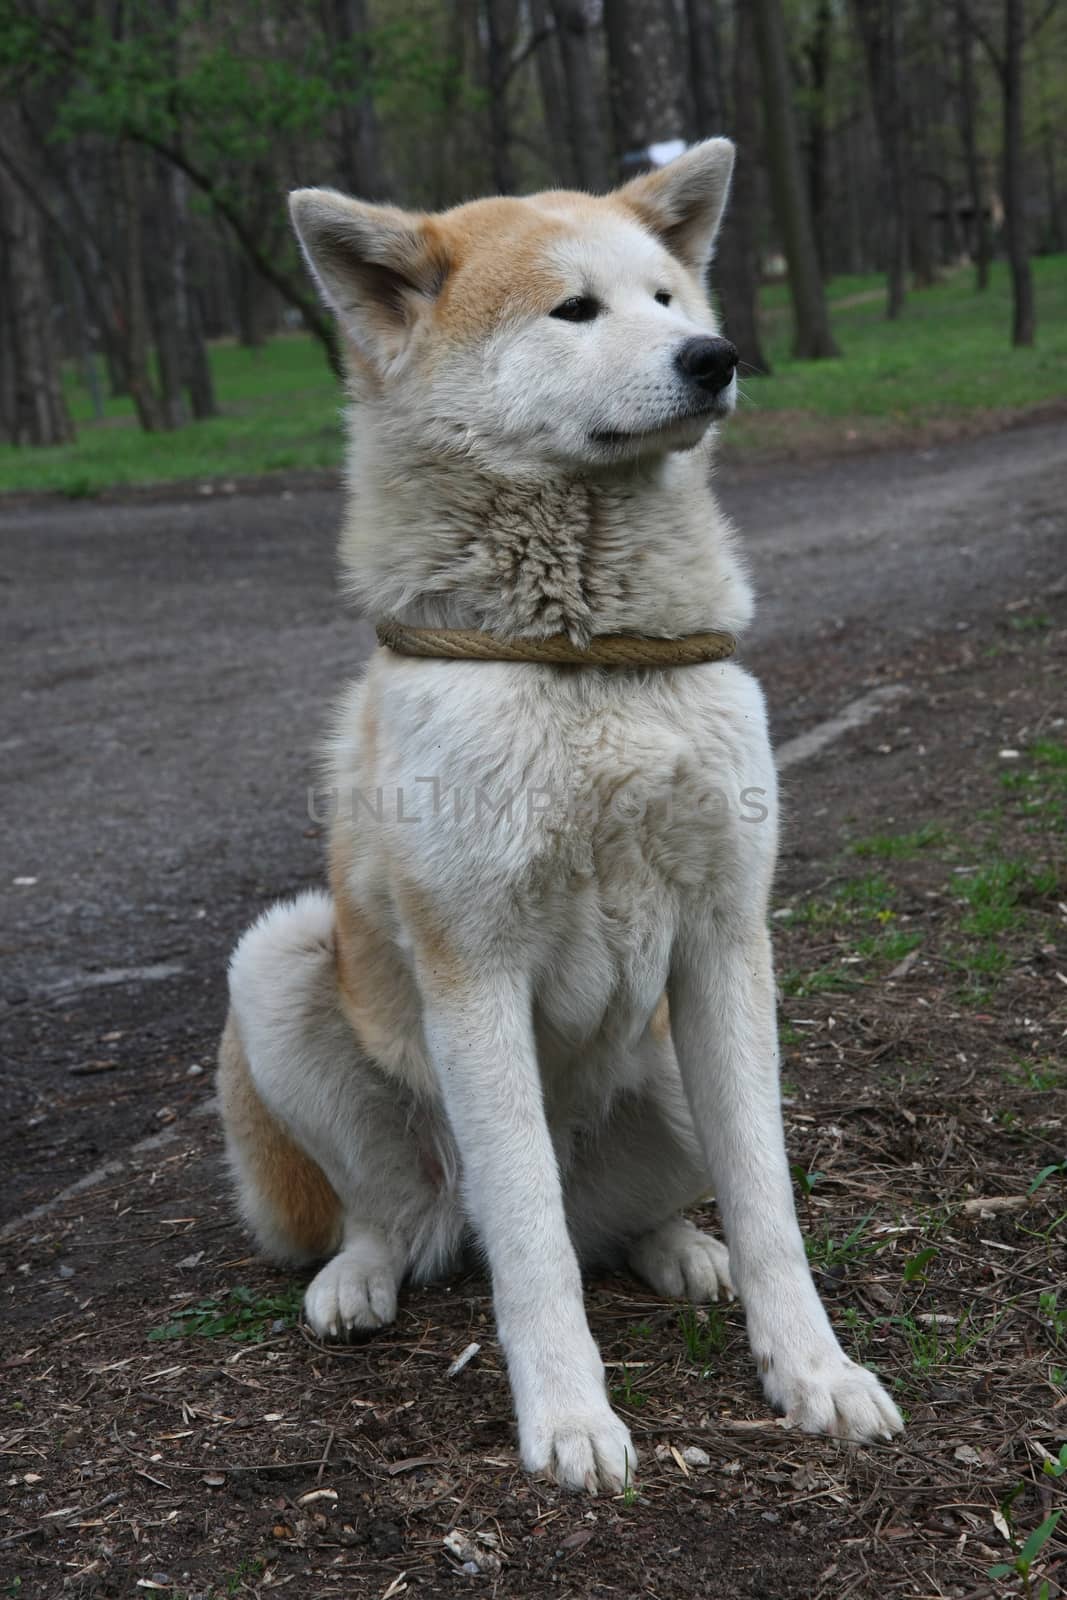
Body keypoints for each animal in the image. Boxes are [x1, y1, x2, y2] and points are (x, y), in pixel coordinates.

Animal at [217, 140, 902, 1497]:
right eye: (570, 309)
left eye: (666, 299)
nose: (714, 355)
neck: (583, 658)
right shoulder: (473, 972)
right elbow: (527, 1242)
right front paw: (569, 1416)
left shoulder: (724, 943)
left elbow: (770, 1205)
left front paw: (811, 1371)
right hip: (281, 962)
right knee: (413, 1215)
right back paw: (358, 1276)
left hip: (676, 1068)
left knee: (620, 1221)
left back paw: (678, 1247)